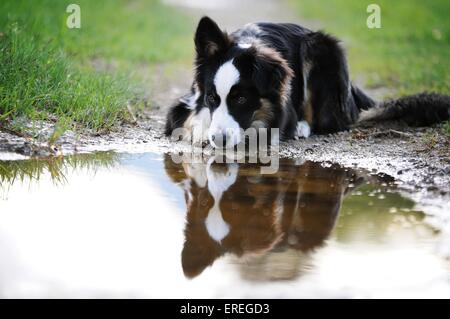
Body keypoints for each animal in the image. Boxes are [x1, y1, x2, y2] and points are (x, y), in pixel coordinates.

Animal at [165, 16, 450, 149]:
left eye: (242, 99)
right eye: (212, 98)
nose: (219, 140)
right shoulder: (188, 102)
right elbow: (192, 117)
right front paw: (201, 131)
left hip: (322, 49)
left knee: (333, 122)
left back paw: (304, 127)